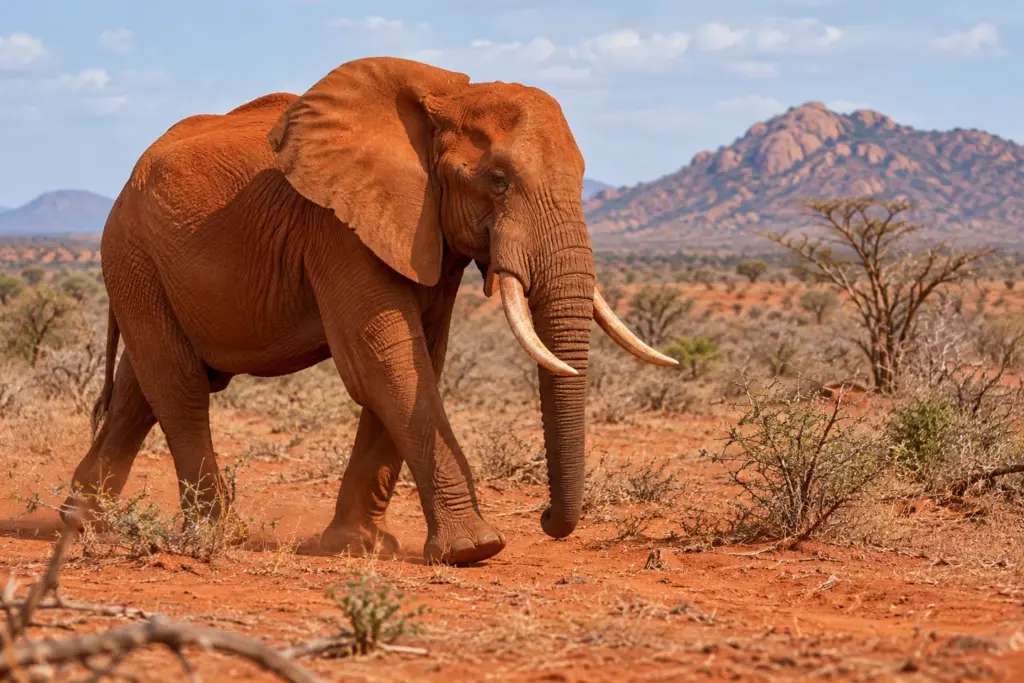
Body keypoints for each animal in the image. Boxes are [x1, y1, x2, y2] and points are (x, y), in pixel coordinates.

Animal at [60, 56, 678, 565]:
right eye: (498, 181)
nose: (548, 520)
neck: (445, 97)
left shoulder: (422, 232)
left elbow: (419, 357)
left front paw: (358, 546)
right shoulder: (336, 227)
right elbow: (384, 361)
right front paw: (476, 550)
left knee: (142, 386)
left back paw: (80, 523)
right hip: (131, 253)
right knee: (179, 385)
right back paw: (214, 537)